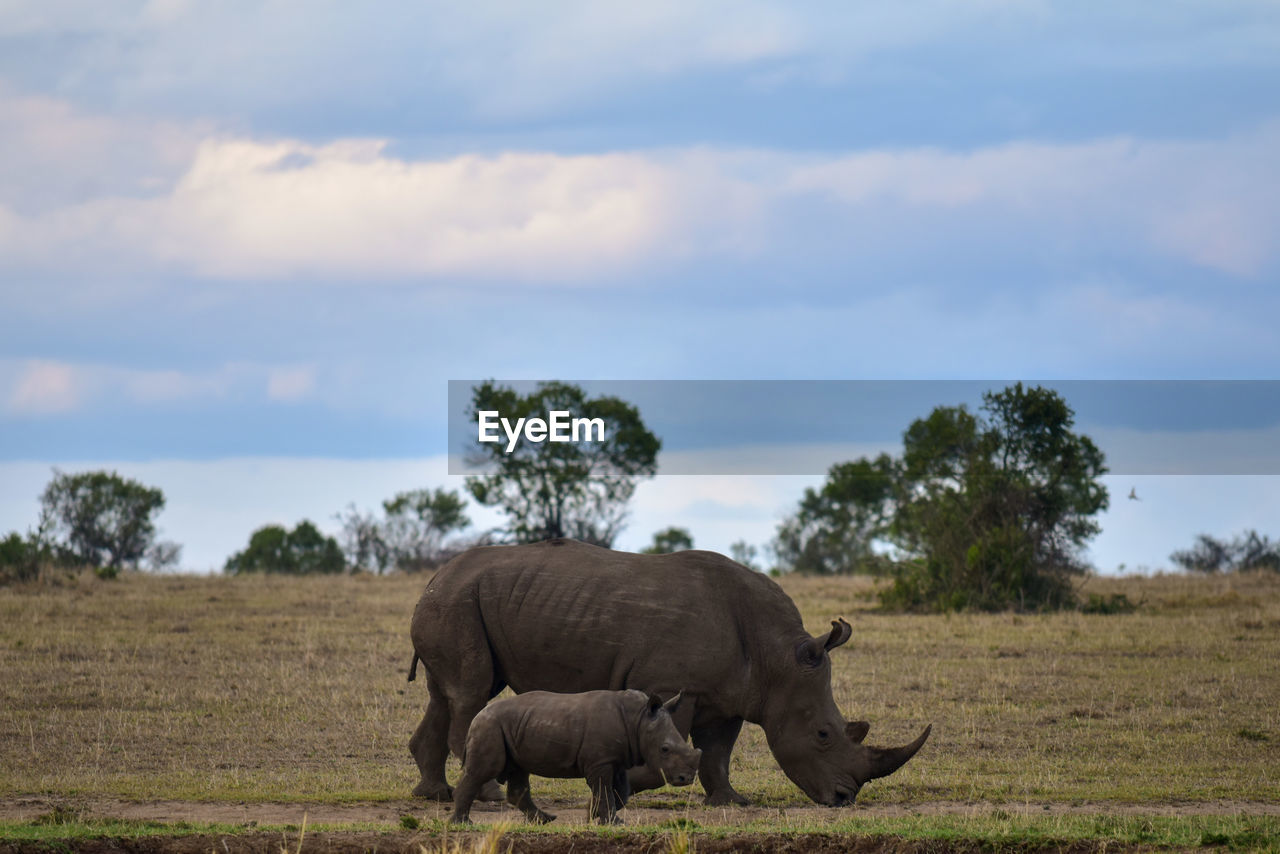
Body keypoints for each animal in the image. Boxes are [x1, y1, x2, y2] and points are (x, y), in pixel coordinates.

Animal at [450, 686, 701, 819]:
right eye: (665, 749)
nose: (686, 779)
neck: (638, 719)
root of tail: (478, 716)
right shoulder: (600, 761)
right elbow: (603, 788)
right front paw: (610, 821)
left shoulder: (615, 759)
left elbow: (620, 790)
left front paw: (597, 816)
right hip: (490, 726)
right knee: (482, 771)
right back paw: (462, 823)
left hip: (510, 726)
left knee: (519, 771)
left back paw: (545, 820)